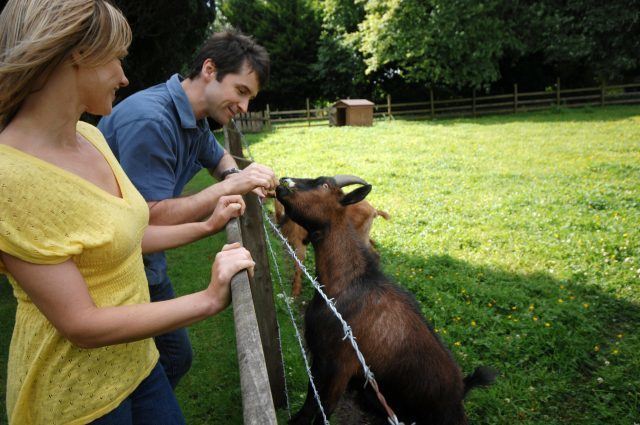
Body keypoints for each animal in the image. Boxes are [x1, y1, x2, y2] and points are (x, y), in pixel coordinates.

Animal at [276, 175, 496, 424]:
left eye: (324, 186)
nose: (284, 180)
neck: (345, 285)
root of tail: (463, 389)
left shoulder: (341, 365)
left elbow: (323, 409)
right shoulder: (319, 358)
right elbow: (310, 402)